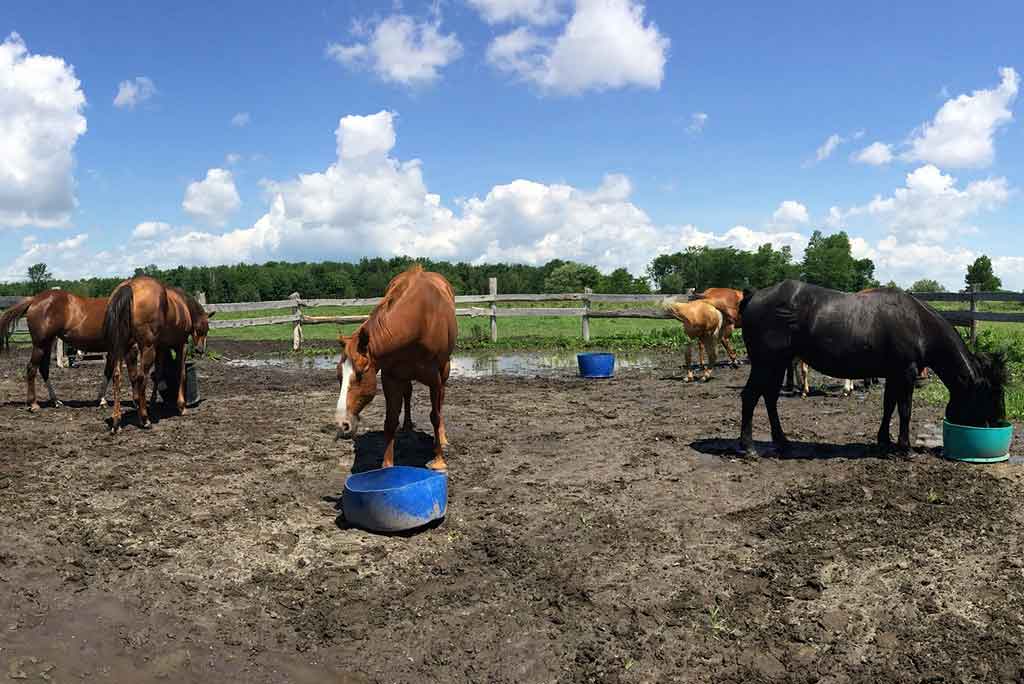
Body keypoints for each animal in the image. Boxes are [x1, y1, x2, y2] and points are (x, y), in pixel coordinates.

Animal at [102, 274, 212, 430]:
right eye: (206, 328)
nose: (200, 349)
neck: (184, 305)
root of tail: (129, 286)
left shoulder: (161, 347)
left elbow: (159, 373)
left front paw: (153, 403)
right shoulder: (181, 345)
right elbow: (181, 372)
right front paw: (181, 406)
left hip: (122, 347)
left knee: (118, 376)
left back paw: (118, 420)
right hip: (147, 348)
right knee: (141, 377)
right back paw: (144, 418)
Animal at [335, 266, 456, 471]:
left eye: (360, 374)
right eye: (338, 376)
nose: (341, 425)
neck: (419, 320)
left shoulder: (434, 379)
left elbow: (435, 415)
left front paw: (439, 460)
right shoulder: (391, 377)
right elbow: (390, 420)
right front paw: (387, 465)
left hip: (444, 370)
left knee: (440, 402)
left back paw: (441, 437)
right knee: (407, 393)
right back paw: (406, 426)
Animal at [737, 280, 1007, 456]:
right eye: (990, 396)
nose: (997, 424)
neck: (919, 324)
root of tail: (753, 296)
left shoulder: (894, 375)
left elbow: (889, 407)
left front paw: (884, 441)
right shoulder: (906, 374)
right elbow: (905, 410)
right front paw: (905, 448)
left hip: (777, 364)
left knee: (769, 397)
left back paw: (782, 441)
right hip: (765, 363)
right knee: (750, 396)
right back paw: (748, 447)